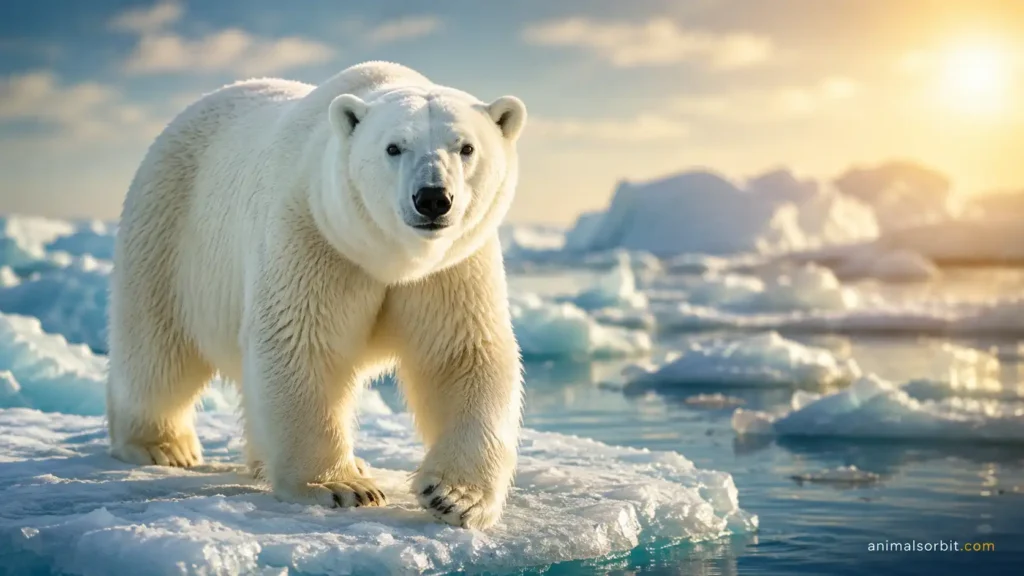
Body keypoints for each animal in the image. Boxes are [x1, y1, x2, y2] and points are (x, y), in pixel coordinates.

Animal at [105, 61, 527, 530]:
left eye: (466, 147)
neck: (392, 259)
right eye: (393, 147)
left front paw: (455, 497)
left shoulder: (452, 267)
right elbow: (301, 343)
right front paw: (341, 487)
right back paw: (162, 445)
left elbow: (462, 354)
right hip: (170, 229)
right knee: (157, 349)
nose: (433, 198)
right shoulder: (313, 233)